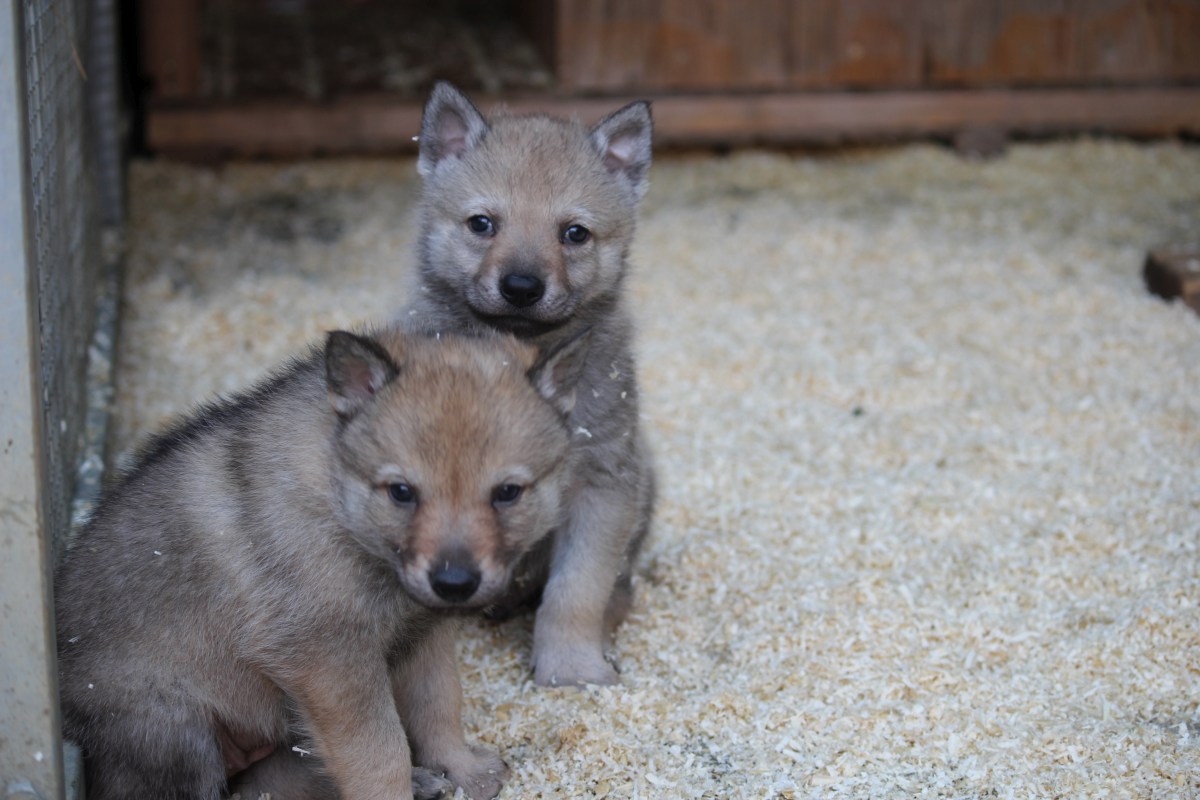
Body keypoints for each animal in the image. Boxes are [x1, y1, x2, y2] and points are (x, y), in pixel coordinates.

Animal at [56, 326, 590, 800]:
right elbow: (379, 751)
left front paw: (463, 770)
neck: (337, 496)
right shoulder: (329, 662)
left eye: (508, 493)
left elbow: (439, 706)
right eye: (401, 492)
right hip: (175, 733)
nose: (454, 583)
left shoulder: (423, 635)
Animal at [410, 81, 657, 690]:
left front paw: (572, 670)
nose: (521, 286)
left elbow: (576, 593)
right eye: (482, 223)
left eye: (574, 234)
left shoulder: (602, 486)